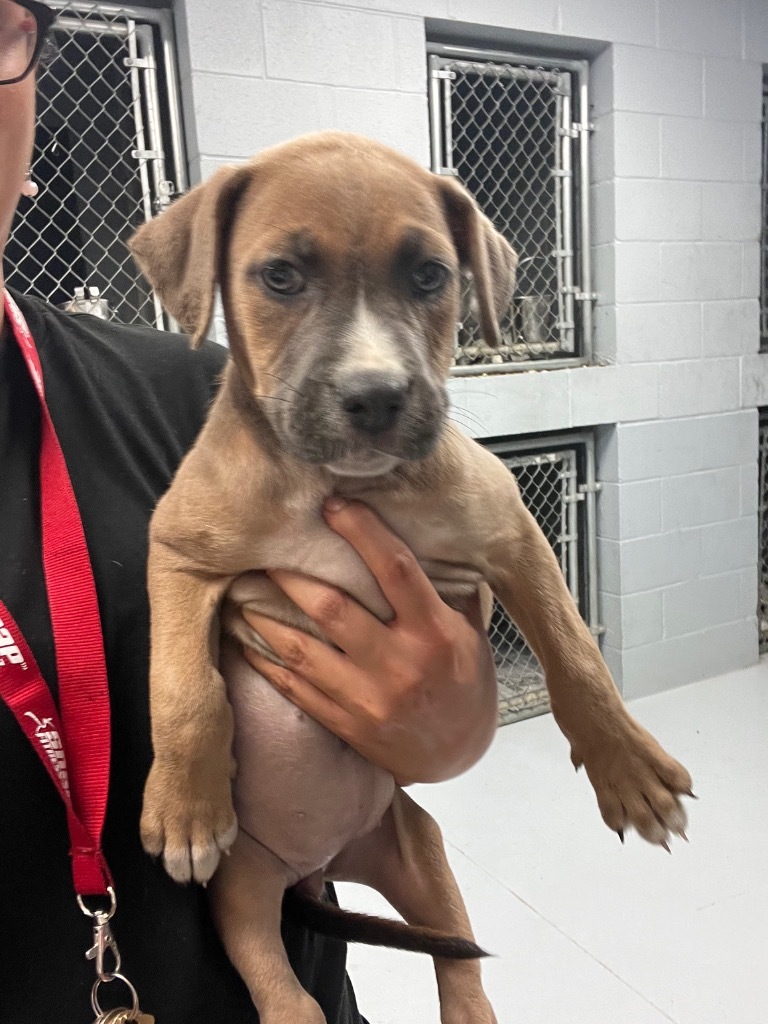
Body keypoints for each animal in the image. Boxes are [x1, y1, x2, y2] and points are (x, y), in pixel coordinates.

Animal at [129, 134, 696, 1024]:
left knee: (457, 965)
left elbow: (576, 657)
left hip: (417, 851)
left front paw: (629, 771)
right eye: (280, 277)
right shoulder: (181, 552)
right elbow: (185, 686)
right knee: (284, 989)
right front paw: (186, 806)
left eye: (431, 275)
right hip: (243, 898)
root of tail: (320, 865)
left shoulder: (511, 538)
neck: (338, 485)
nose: (375, 396)